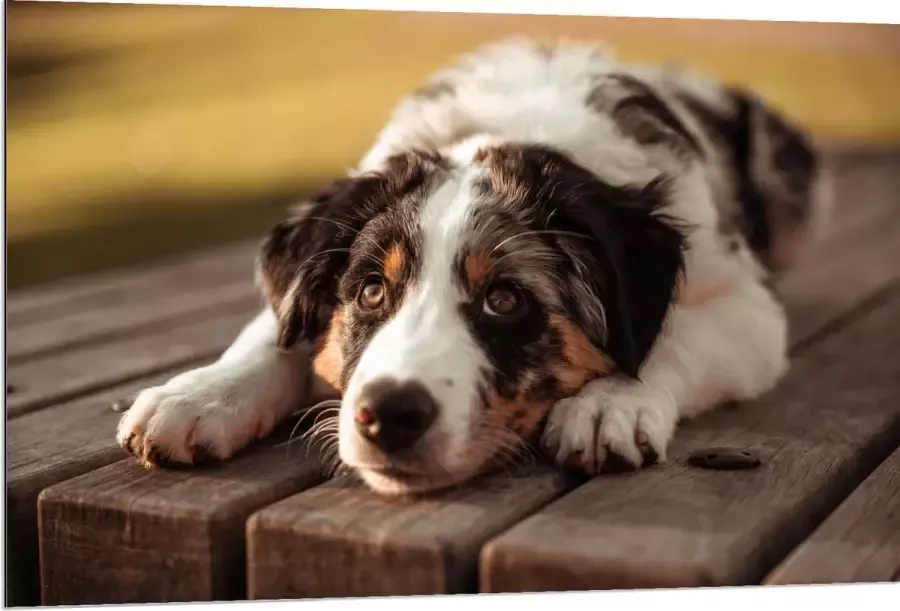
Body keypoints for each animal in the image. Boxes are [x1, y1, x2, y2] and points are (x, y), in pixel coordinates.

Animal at [116, 38, 832, 498]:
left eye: (505, 299)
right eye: (370, 291)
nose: (388, 415)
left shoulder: (748, 308)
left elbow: (672, 335)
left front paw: (611, 404)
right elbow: (274, 330)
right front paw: (198, 396)